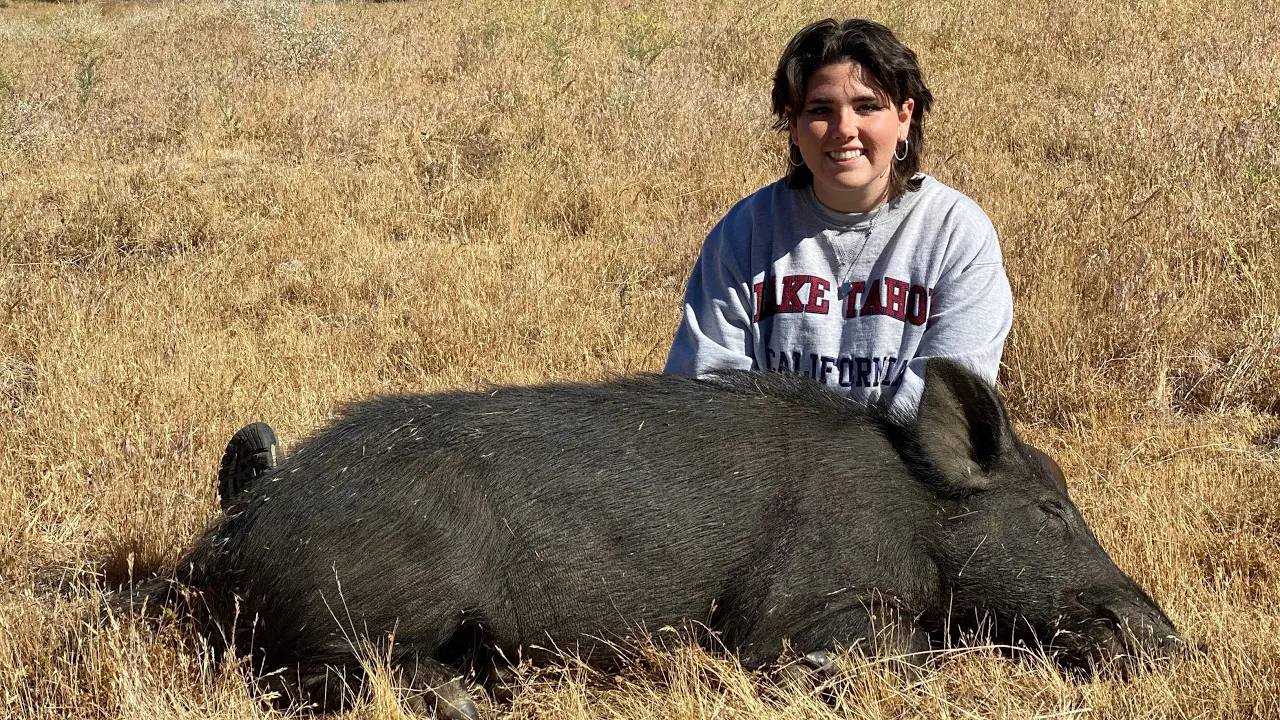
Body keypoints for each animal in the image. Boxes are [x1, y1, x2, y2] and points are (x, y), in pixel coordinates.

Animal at [143, 359, 1183, 718]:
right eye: (1051, 510)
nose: (1169, 638)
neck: (915, 515)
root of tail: (225, 536)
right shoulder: (789, 612)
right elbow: (894, 648)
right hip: (374, 602)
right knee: (317, 670)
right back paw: (467, 701)